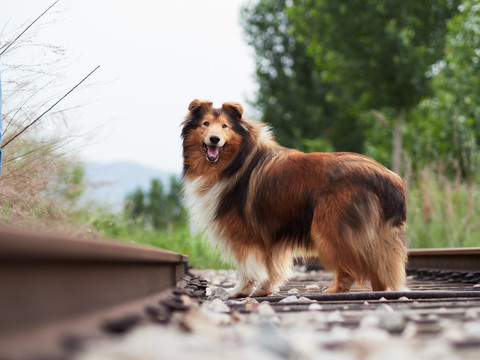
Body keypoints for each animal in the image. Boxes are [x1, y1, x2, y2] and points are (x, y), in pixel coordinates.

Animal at [182, 99, 406, 298]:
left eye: (225, 126)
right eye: (205, 124)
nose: (214, 139)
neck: (235, 161)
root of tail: (388, 177)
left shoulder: (243, 234)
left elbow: (247, 268)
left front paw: (239, 291)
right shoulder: (270, 234)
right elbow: (272, 268)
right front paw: (264, 289)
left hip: (330, 229)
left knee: (350, 268)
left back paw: (333, 290)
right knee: (377, 267)